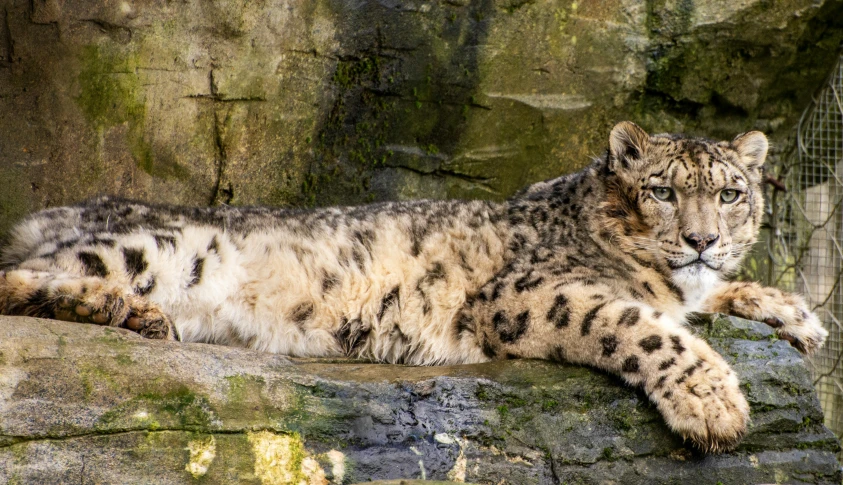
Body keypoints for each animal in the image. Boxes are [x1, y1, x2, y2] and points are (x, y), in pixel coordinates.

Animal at [0, 123, 828, 452]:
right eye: (661, 190)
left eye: (729, 193)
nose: (700, 239)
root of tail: (57, 211)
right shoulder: (525, 293)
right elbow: (638, 324)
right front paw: (714, 404)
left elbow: (696, 300)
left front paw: (796, 314)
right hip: (153, 246)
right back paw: (121, 306)